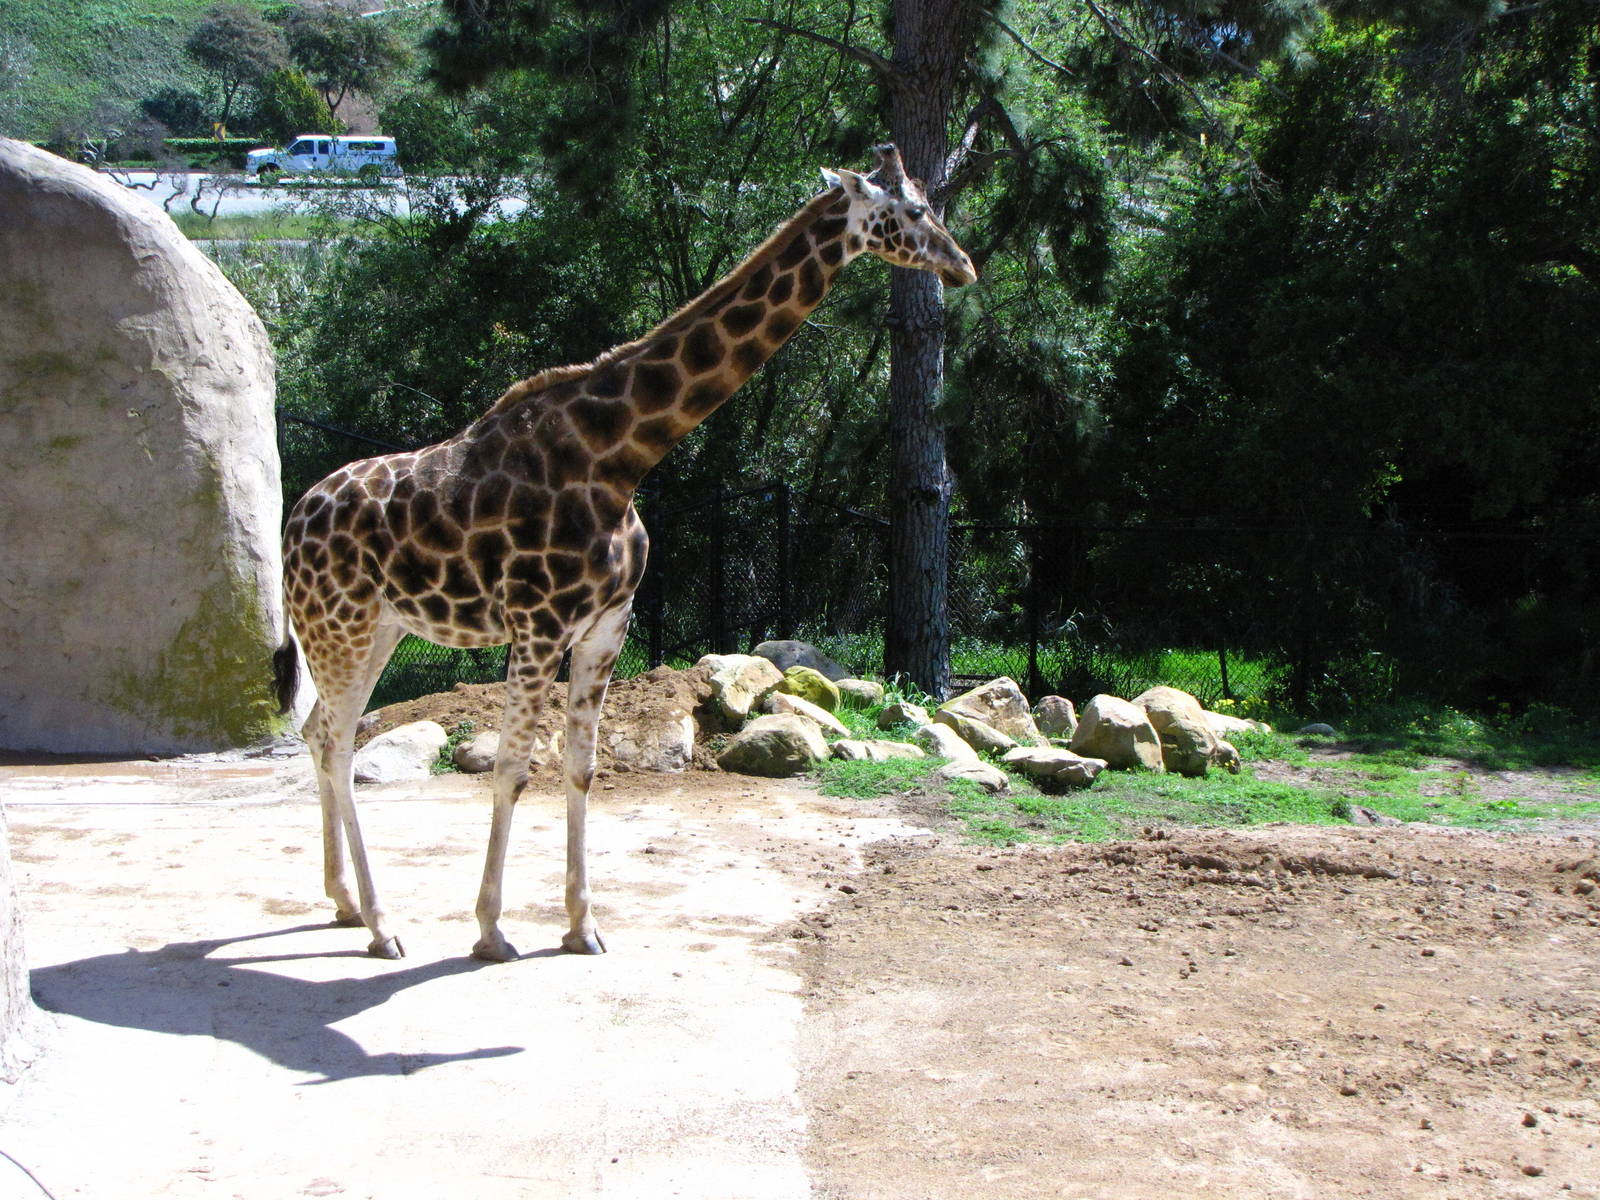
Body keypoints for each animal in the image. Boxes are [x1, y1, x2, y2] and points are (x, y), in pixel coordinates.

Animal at [276, 144, 977, 961]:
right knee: (338, 743)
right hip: (341, 626)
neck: (620, 454)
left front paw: (583, 926)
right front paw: (491, 930)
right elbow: (514, 770)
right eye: (916, 210)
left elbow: (580, 769)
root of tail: (294, 520)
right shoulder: (537, 627)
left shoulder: (608, 626)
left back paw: (344, 903)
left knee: (320, 733)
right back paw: (382, 925)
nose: (964, 265)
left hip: (376, 629)